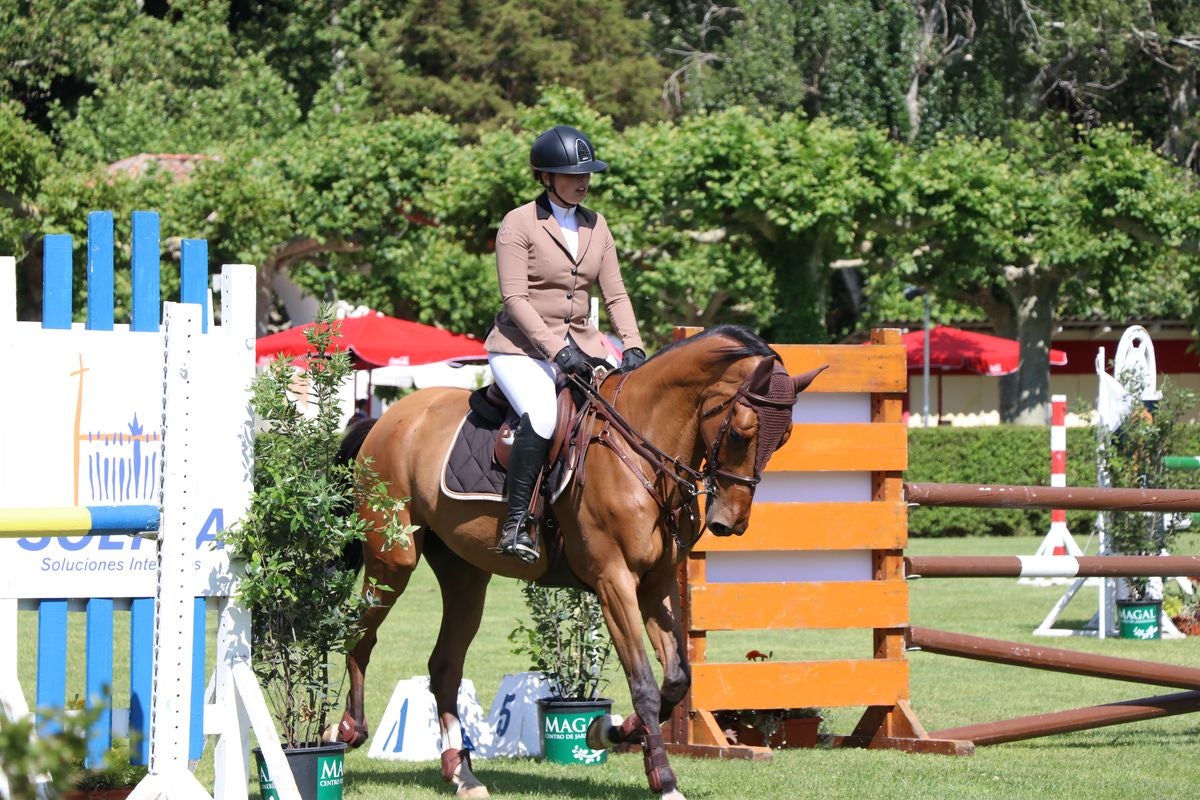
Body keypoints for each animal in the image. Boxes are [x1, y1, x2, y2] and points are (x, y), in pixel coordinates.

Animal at [333, 326, 830, 800]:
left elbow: (675, 679)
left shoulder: (656, 583)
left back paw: (462, 773)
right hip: (393, 558)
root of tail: (388, 419)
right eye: (742, 431)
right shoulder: (614, 583)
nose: (731, 522)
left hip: (465, 574)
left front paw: (608, 731)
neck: (642, 450)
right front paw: (664, 779)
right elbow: (644, 684)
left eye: (783, 437)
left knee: (444, 667)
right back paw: (348, 728)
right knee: (361, 638)